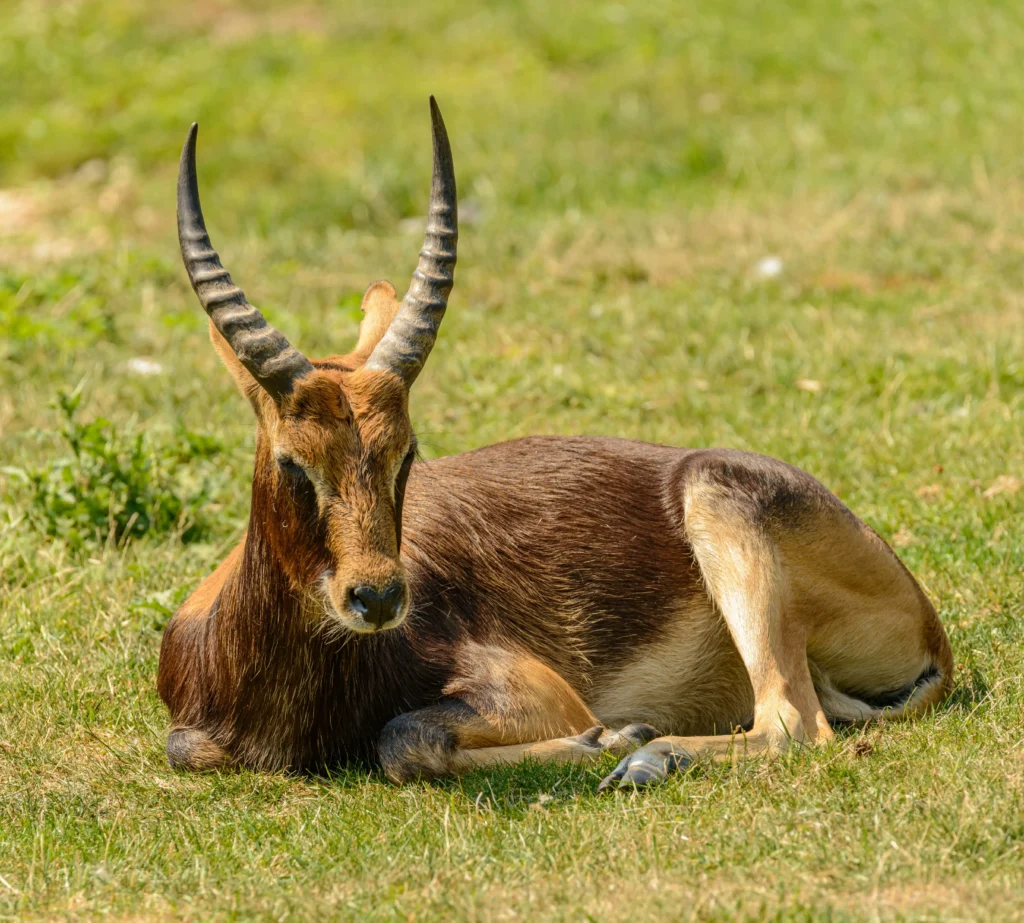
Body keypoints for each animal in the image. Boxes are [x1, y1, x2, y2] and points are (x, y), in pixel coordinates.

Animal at [159, 98, 954, 791]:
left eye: (405, 456)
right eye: (294, 461)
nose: (378, 597)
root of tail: (928, 625)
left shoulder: (540, 693)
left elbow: (402, 738)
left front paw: (613, 735)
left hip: (719, 508)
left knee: (791, 721)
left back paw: (642, 755)